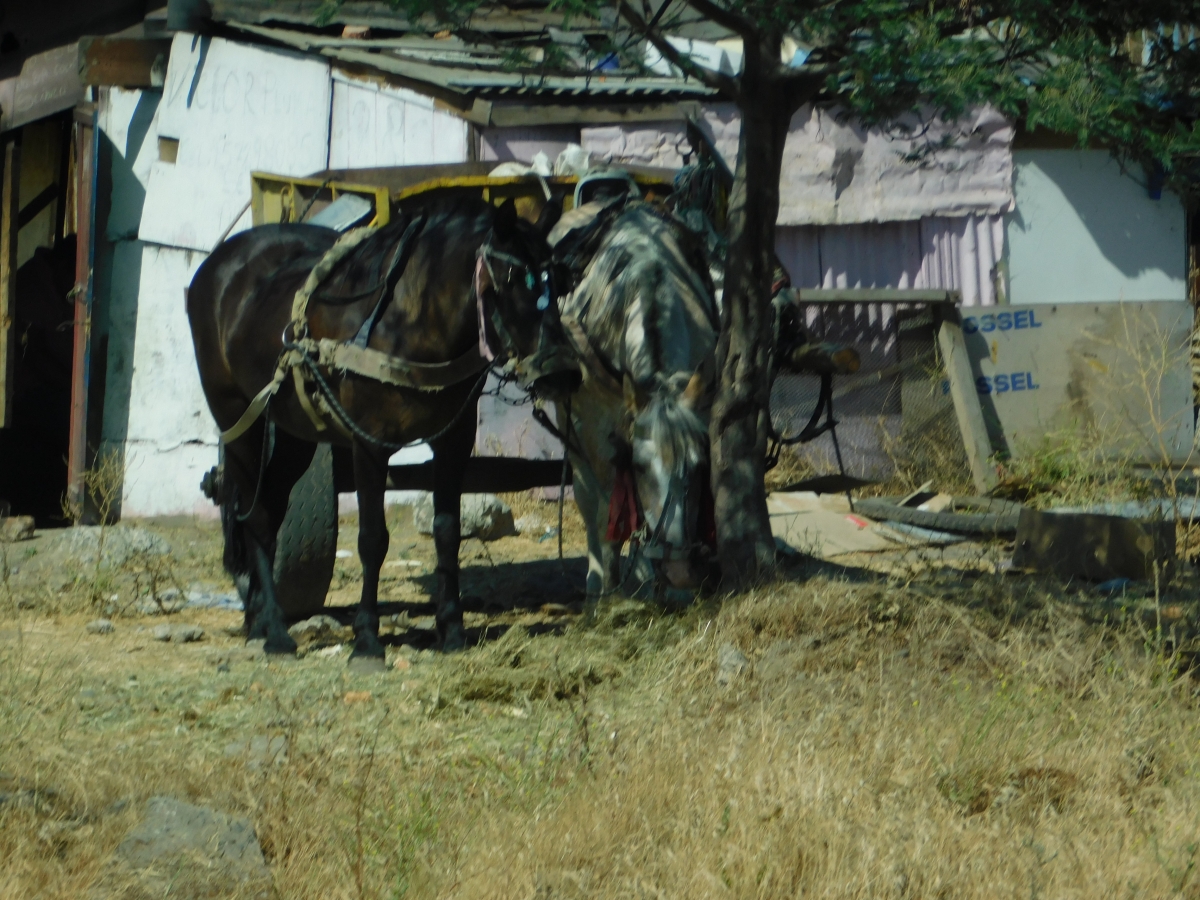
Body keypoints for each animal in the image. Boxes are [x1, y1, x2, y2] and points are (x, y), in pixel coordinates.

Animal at [187, 196, 561, 672]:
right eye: (513, 279)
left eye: (559, 280)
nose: (558, 368)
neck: (410, 319)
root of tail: (217, 263)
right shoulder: (368, 443)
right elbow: (372, 539)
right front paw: (366, 639)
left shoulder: (453, 441)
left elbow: (447, 530)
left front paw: (452, 630)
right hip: (239, 419)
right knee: (250, 513)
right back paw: (274, 631)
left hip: (295, 433)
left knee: (269, 509)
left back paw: (258, 620)